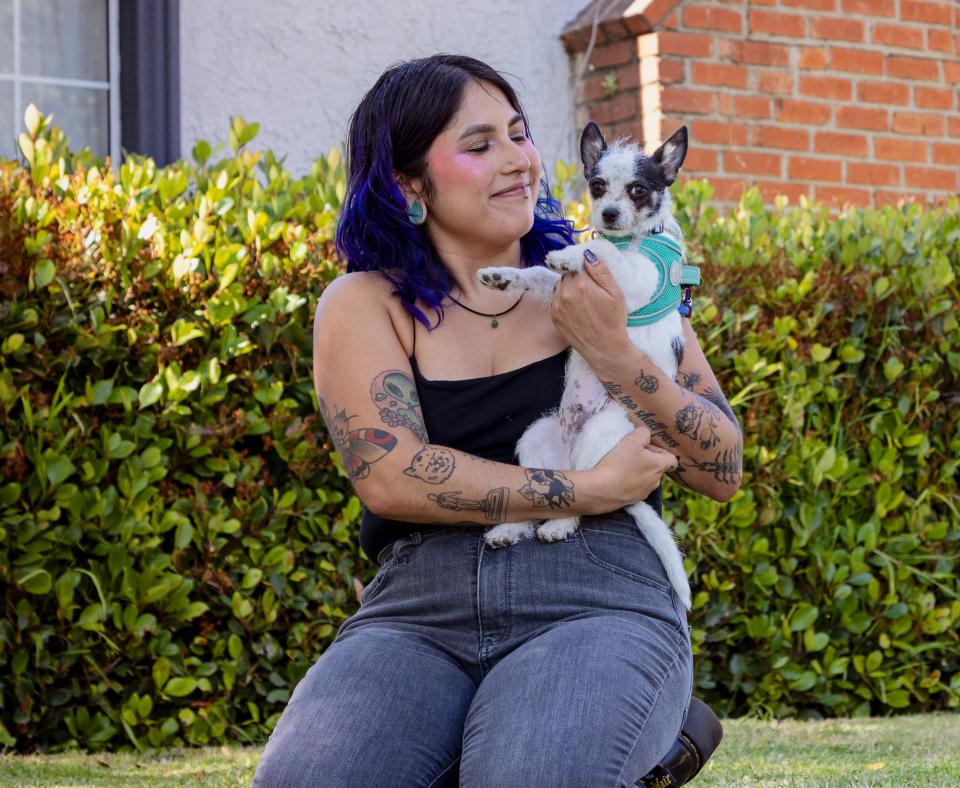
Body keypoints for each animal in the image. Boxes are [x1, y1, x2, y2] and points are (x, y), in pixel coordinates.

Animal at [478, 121, 688, 608]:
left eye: (638, 190)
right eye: (597, 186)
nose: (608, 215)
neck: (631, 237)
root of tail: (571, 453)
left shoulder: (640, 274)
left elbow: (605, 256)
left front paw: (572, 254)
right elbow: (538, 276)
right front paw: (505, 276)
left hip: (600, 436)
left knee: (588, 499)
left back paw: (558, 526)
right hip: (535, 441)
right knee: (551, 493)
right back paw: (511, 529)